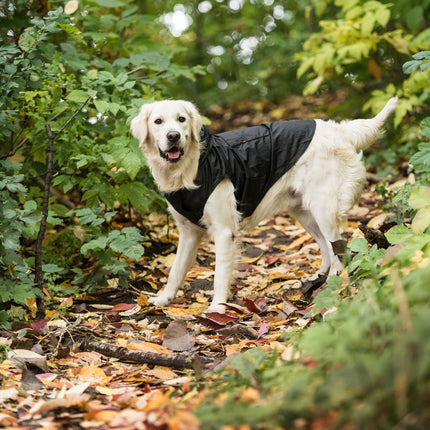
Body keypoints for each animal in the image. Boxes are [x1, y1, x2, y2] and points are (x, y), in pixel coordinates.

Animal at [130, 97, 396, 312]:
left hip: (323, 207)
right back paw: (319, 277)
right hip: (305, 213)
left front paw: (217, 308)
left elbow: (219, 275)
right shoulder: (188, 233)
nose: (173, 136)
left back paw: (332, 282)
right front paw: (163, 299)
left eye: (181, 119)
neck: (192, 168)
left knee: (338, 247)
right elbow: (175, 271)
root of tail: (338, 129)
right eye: (158, 122)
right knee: (326, 247)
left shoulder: (224, 232)